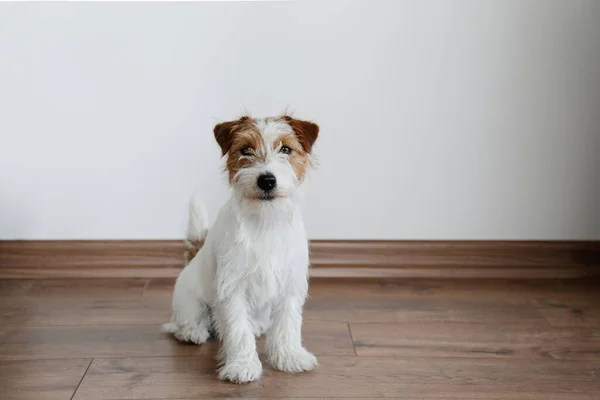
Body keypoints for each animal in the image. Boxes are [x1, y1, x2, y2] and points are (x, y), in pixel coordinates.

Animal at [159, 114, 318, 382]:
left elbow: (287, 325)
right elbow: (237, 330)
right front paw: (242, 367)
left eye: (286, 149)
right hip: (189, 300)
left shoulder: (289, 285)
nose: (267, 180)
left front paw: (290, 357)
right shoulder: (232, 288)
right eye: (245, 150)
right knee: (183, 323)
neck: (265, 221)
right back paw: (192, 332)